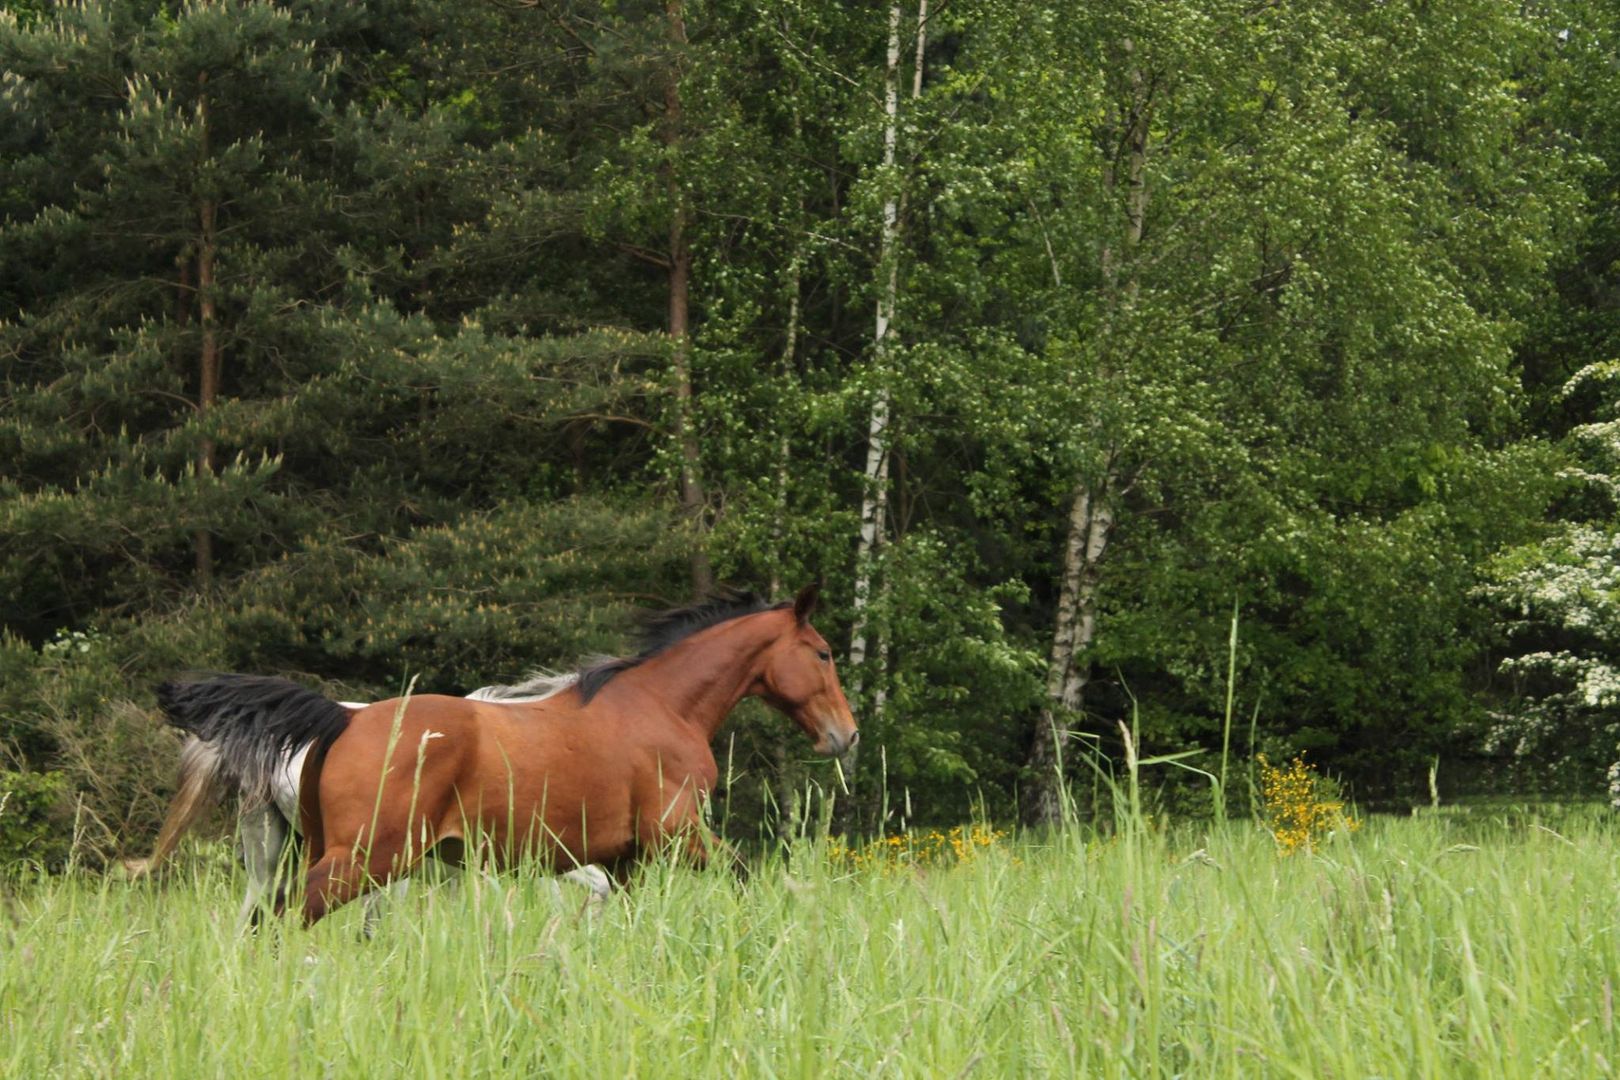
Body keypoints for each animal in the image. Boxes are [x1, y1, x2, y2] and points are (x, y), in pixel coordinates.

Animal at [294, 586, 848, 926]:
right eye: (823, 653)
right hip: (366, 858)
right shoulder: (677, 834)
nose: (846, 734)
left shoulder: (628, 860)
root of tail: (346, 720)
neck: (665, 704)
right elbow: (741, 873)